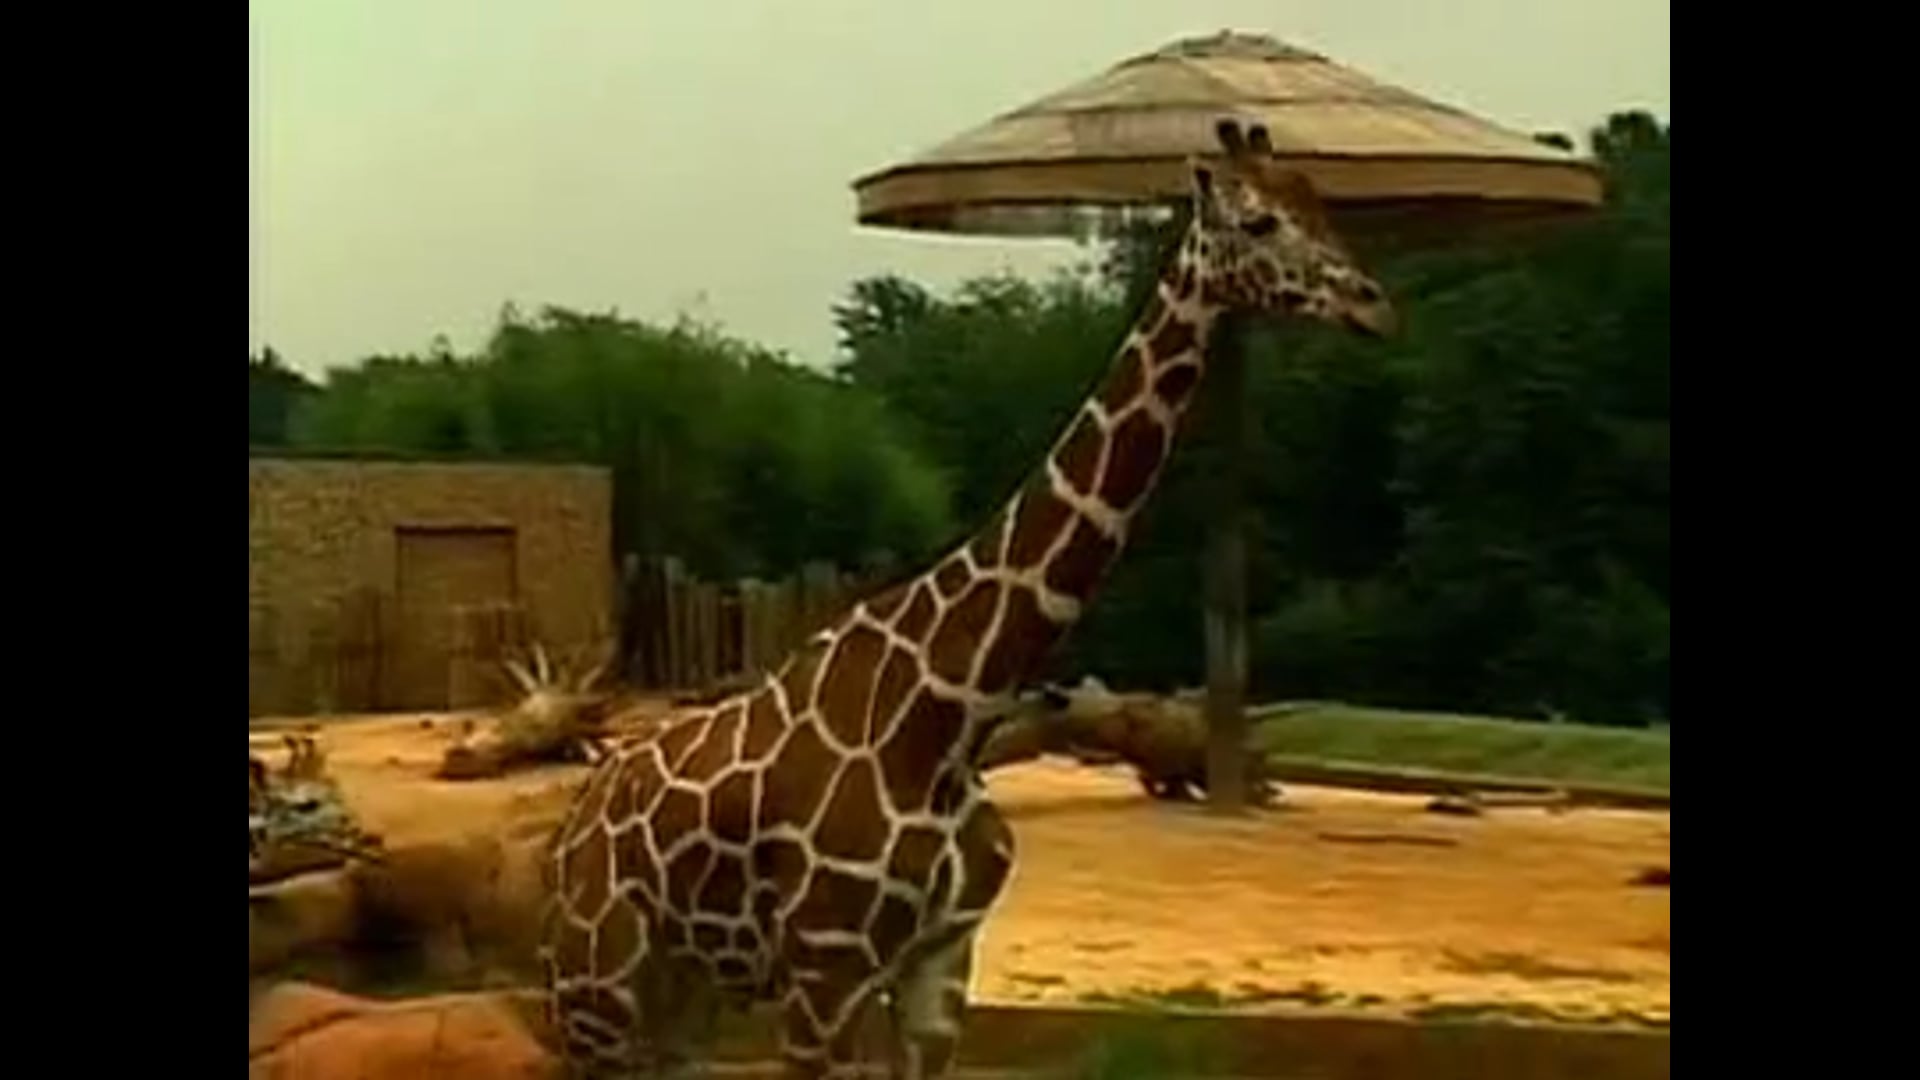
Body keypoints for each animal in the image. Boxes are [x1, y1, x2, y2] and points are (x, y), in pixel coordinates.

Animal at [542, 117, 1397, 1079]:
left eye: (1319, 200)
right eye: (1258, 222)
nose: (1373, 304)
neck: (954, 712)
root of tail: (575, 830)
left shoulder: (941, 960)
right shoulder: (825, 967)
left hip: (680, 995)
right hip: (598, 984)